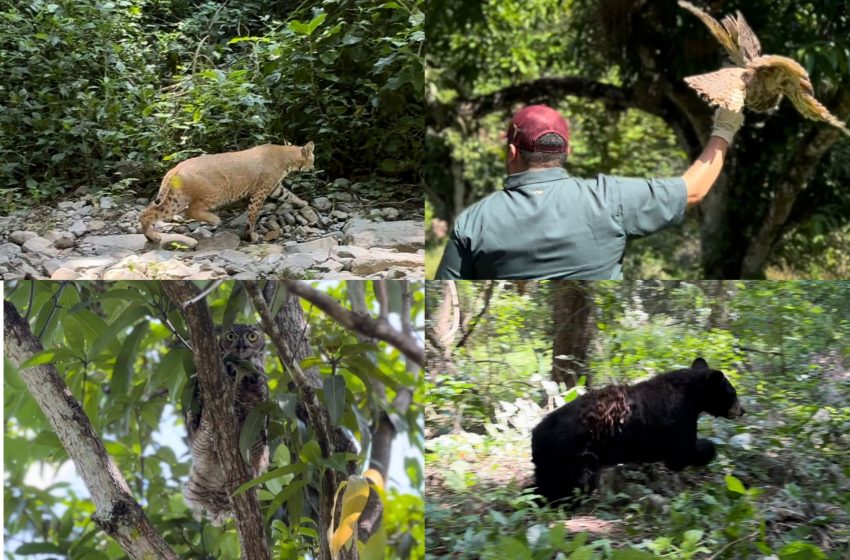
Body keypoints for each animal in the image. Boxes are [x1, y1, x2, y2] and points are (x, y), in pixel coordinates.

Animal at [528, 358, 744, 508]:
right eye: (732, 393)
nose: (742, 410)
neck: (689, 396)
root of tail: (536, 434)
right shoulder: (677, 422)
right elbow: (682, 453)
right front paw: (708, 449)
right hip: (574, 457)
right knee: (573, 484)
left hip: (552, 462)